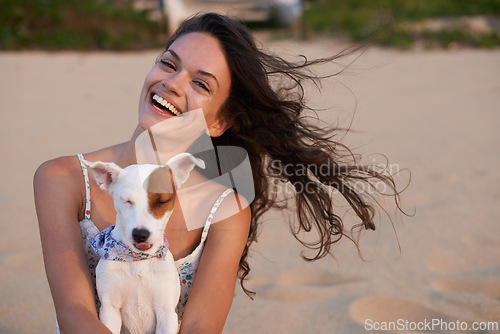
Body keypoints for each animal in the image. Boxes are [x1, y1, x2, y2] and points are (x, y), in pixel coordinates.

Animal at [86, 153, 205, 334]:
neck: (138, 260)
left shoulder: (166, 312)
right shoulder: (109, 310)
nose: (140, 234)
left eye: (162, 201)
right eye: (127, 201)